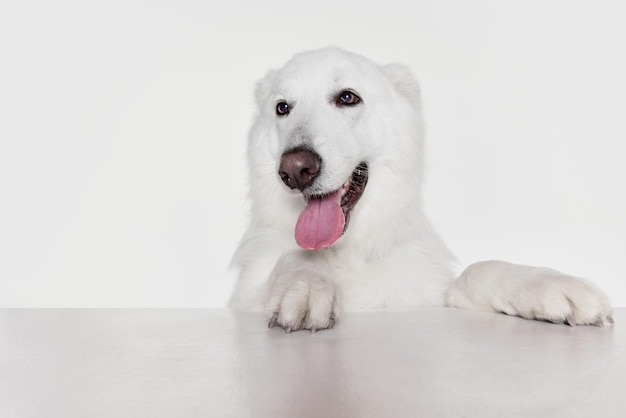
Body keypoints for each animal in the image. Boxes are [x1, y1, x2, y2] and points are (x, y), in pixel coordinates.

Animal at [228, 46, 608, 334]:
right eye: (282, 108)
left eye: (347, 98)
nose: (295, 169)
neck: (352, 250)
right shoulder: (246, 298)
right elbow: (298, 257)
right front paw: (306, 286)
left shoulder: (427, 292)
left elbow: (477, 269)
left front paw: (551, 285)